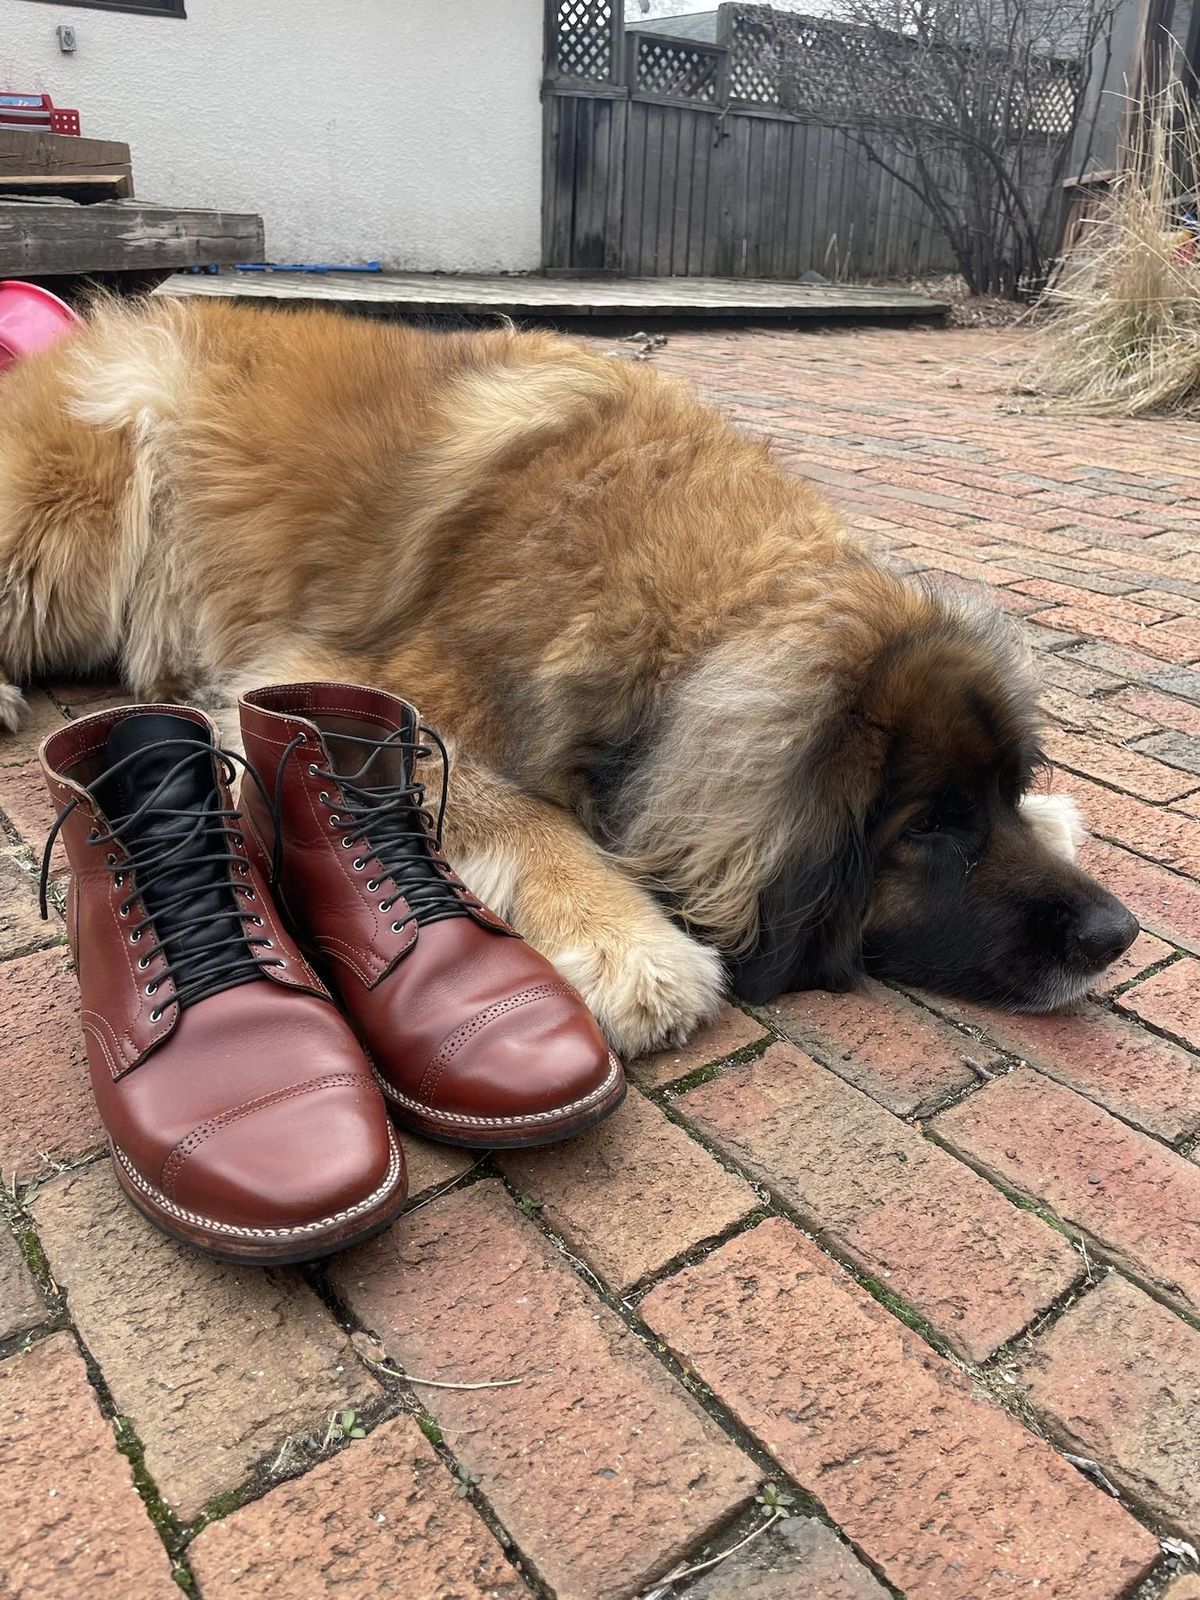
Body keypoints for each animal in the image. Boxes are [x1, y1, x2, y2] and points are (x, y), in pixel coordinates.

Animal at [0, 294, 1139, 1056]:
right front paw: (633, 945)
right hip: (72, 530)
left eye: (996, 795)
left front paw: (1056, 815)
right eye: (927, 831)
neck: (695, 592)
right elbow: (520, 809)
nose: (1116, 934)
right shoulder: (328, 673)